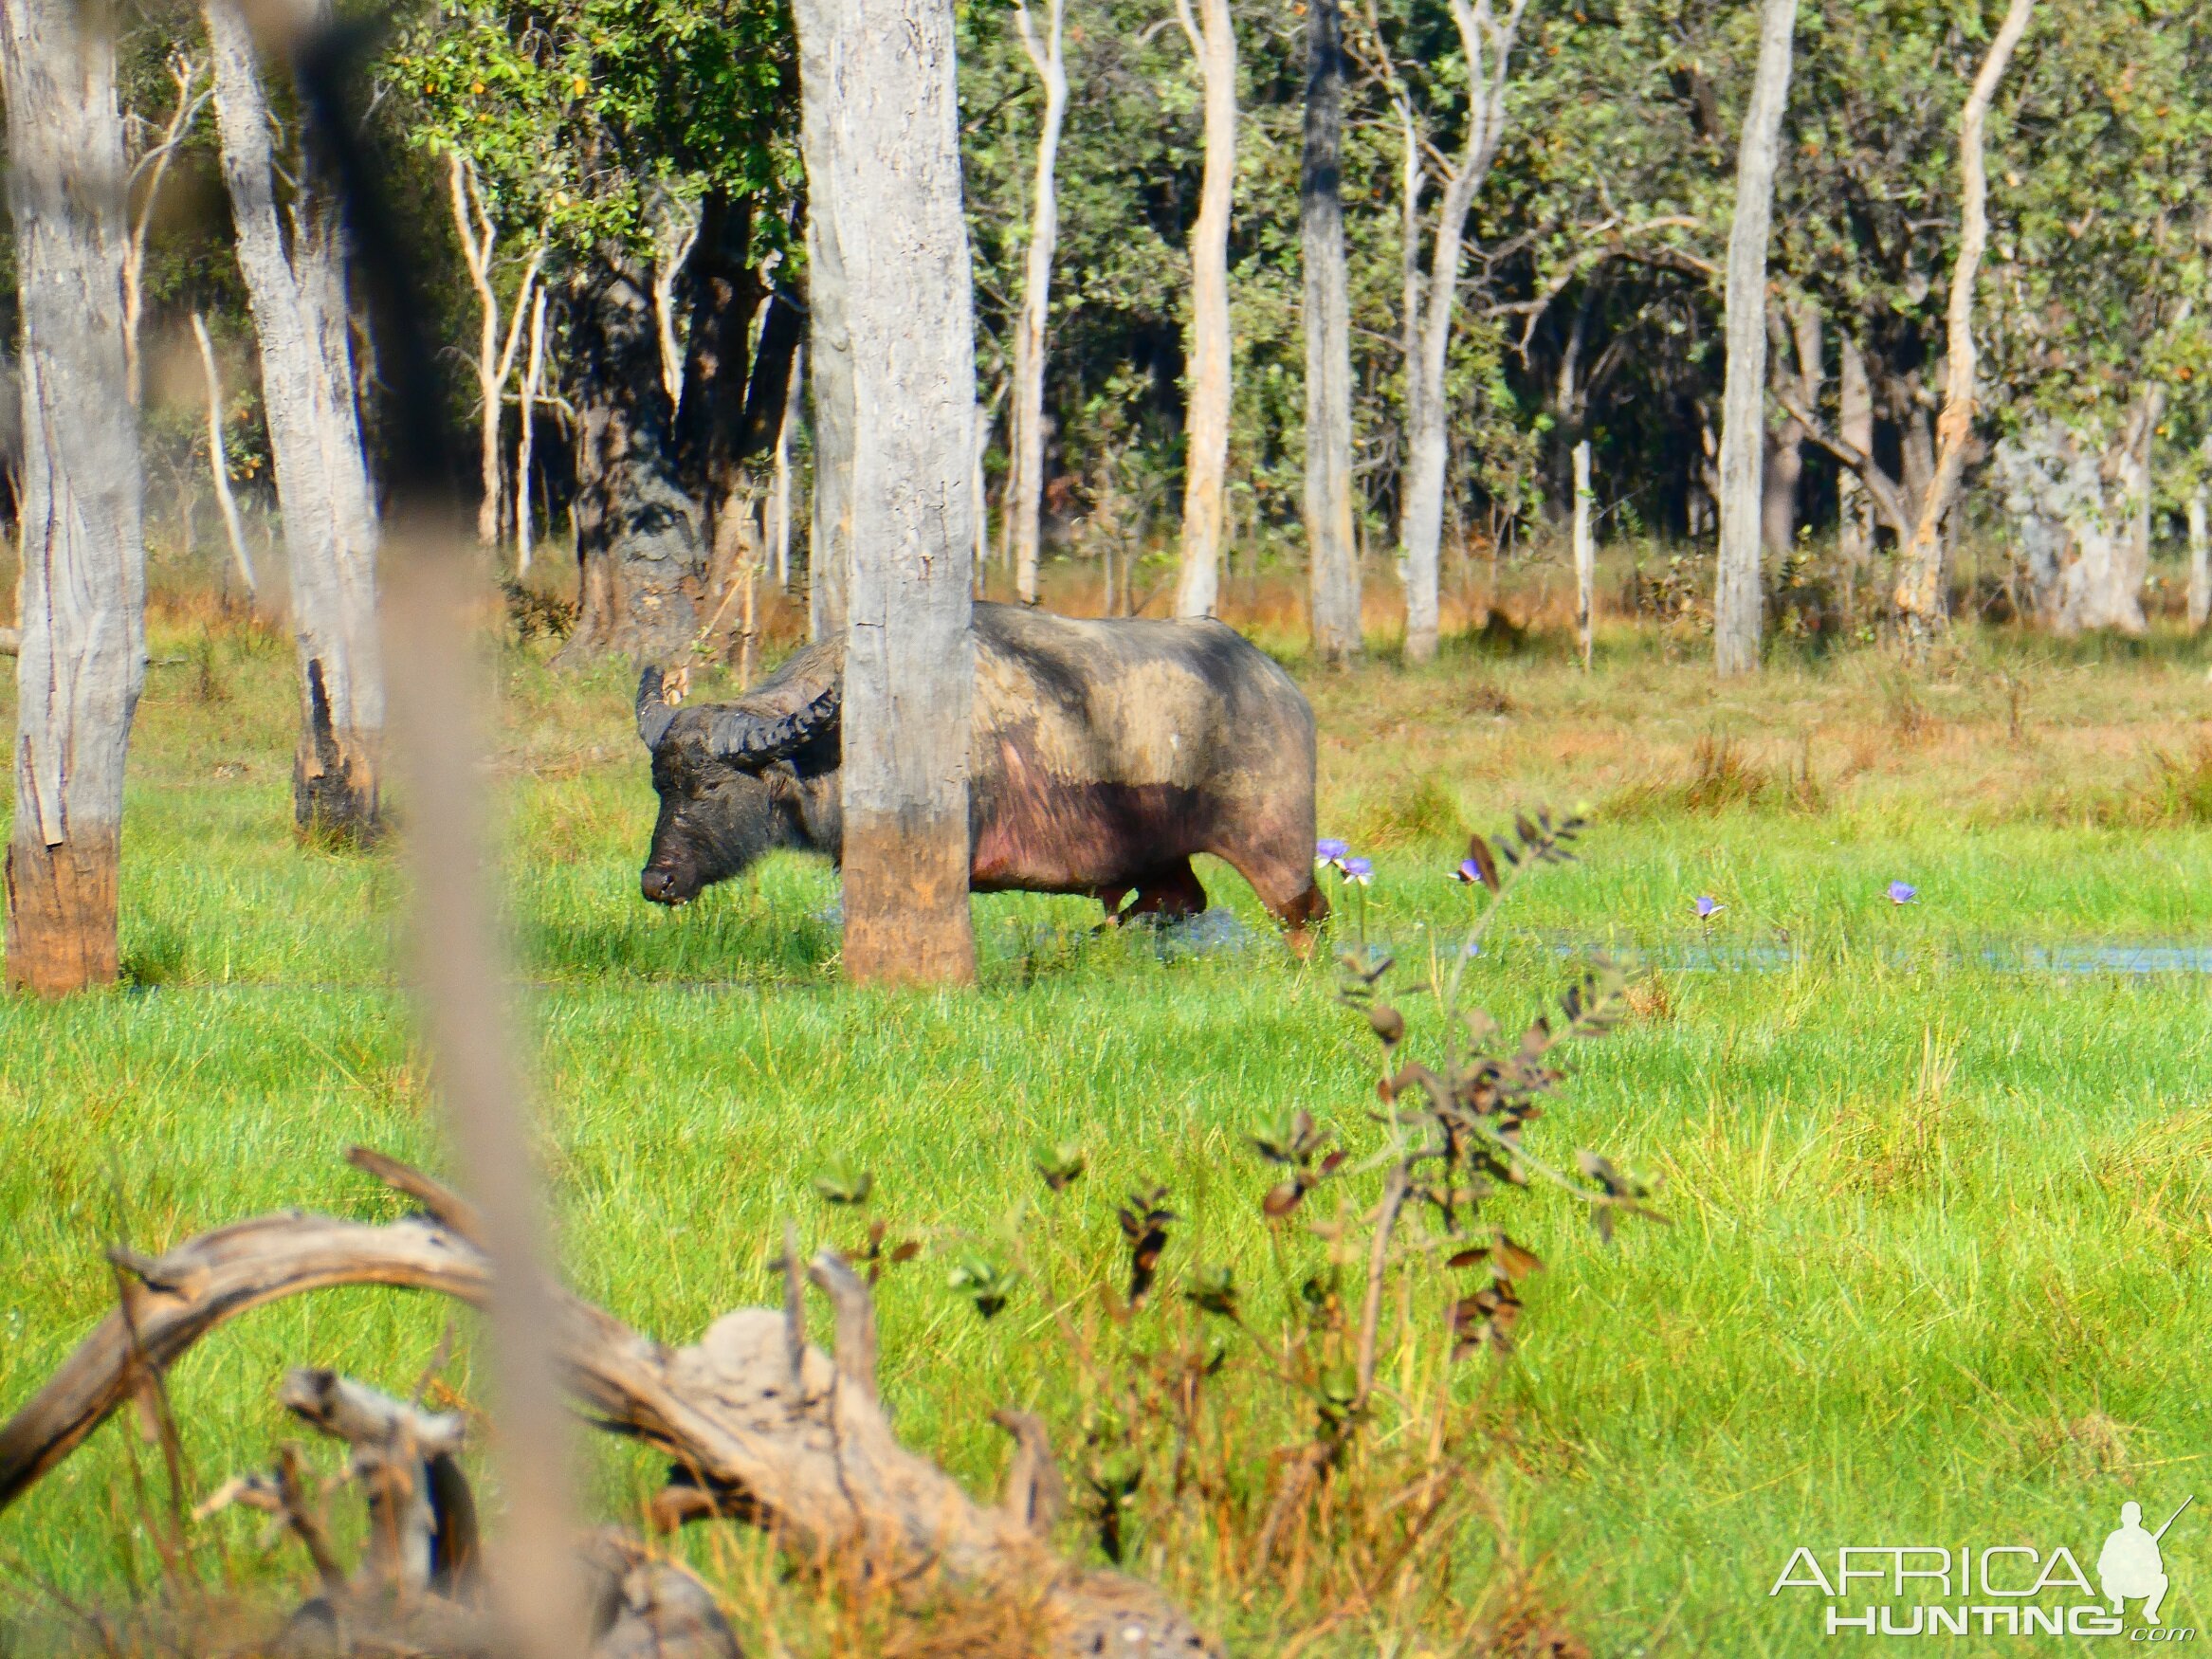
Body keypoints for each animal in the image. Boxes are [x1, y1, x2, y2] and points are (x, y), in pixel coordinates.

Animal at [641, 606, 1326, 946]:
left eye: (712, 786)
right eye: (661, 786)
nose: (656, 881)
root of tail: (1279, 686)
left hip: (1277, 850)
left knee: (1306, 917)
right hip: (1160, 854)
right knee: (1177, 900)